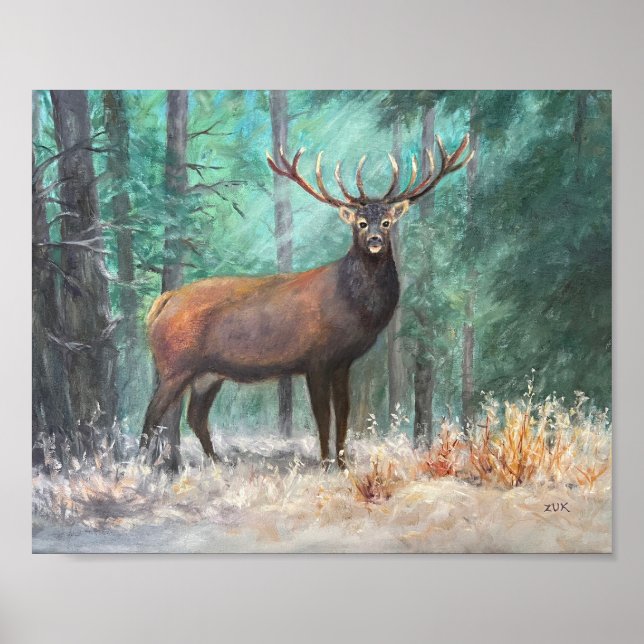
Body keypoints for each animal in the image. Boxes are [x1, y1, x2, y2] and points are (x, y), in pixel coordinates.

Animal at [140, 134, 473, 468]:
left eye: (387, 221)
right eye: (361, 222)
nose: (375, 241)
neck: (356, 310)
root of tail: (163, 302)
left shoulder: (342, 362)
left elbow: (343, 413)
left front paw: (343, 463)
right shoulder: (316, 358)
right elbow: (322, 415)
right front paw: (325, 462)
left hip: (208, 373)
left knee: (195, 416)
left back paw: (217, 461)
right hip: (175, 363)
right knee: (152, 413)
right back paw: (143, 463)